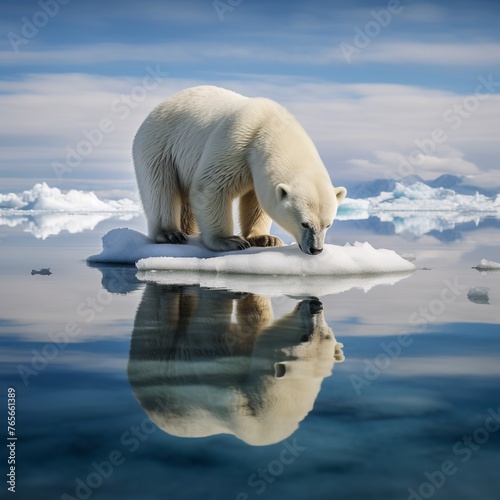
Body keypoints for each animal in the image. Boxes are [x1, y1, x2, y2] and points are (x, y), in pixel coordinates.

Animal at [131, 85, 346, 254]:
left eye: (328, 224)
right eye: (304, 223)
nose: (316, 249)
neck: (271, 128)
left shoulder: (254, 167)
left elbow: (256, 201)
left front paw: (265, 238)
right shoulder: (237, 142)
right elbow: (211, 187)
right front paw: (229, 240)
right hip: (159, 146)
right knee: (160, 189)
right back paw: (170, 234)